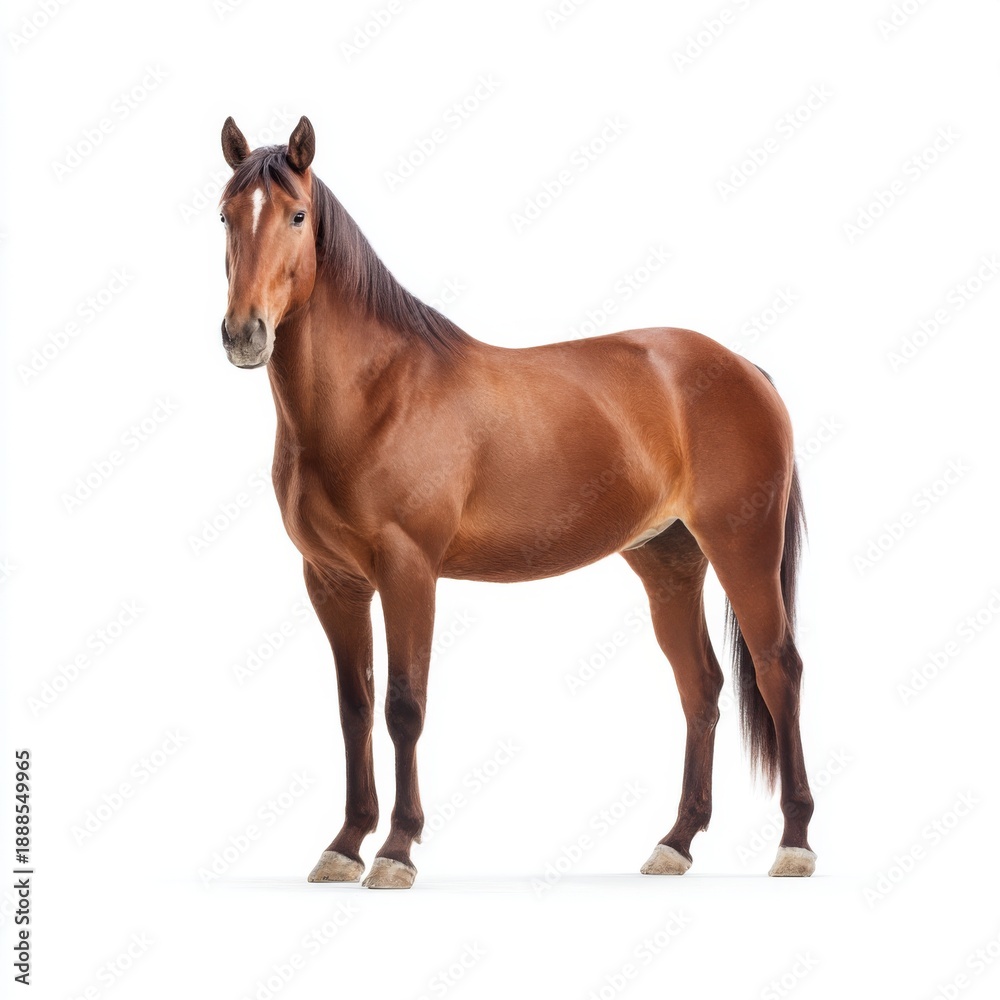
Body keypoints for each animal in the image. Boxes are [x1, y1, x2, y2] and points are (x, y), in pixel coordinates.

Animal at [216, 115, 816, 889]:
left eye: (295, 214)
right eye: (225, 216)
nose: (244, 335)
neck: (377, 394)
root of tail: (744, 367)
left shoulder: (408, 572)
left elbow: (404, 706)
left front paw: (396, 851)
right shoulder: (332, 581)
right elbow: (355, 709)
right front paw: (344, 845)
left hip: (744, 546)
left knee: (778, 670)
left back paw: (795, 843)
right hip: (669, 560)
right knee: (702, 688)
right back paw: (675, 843)